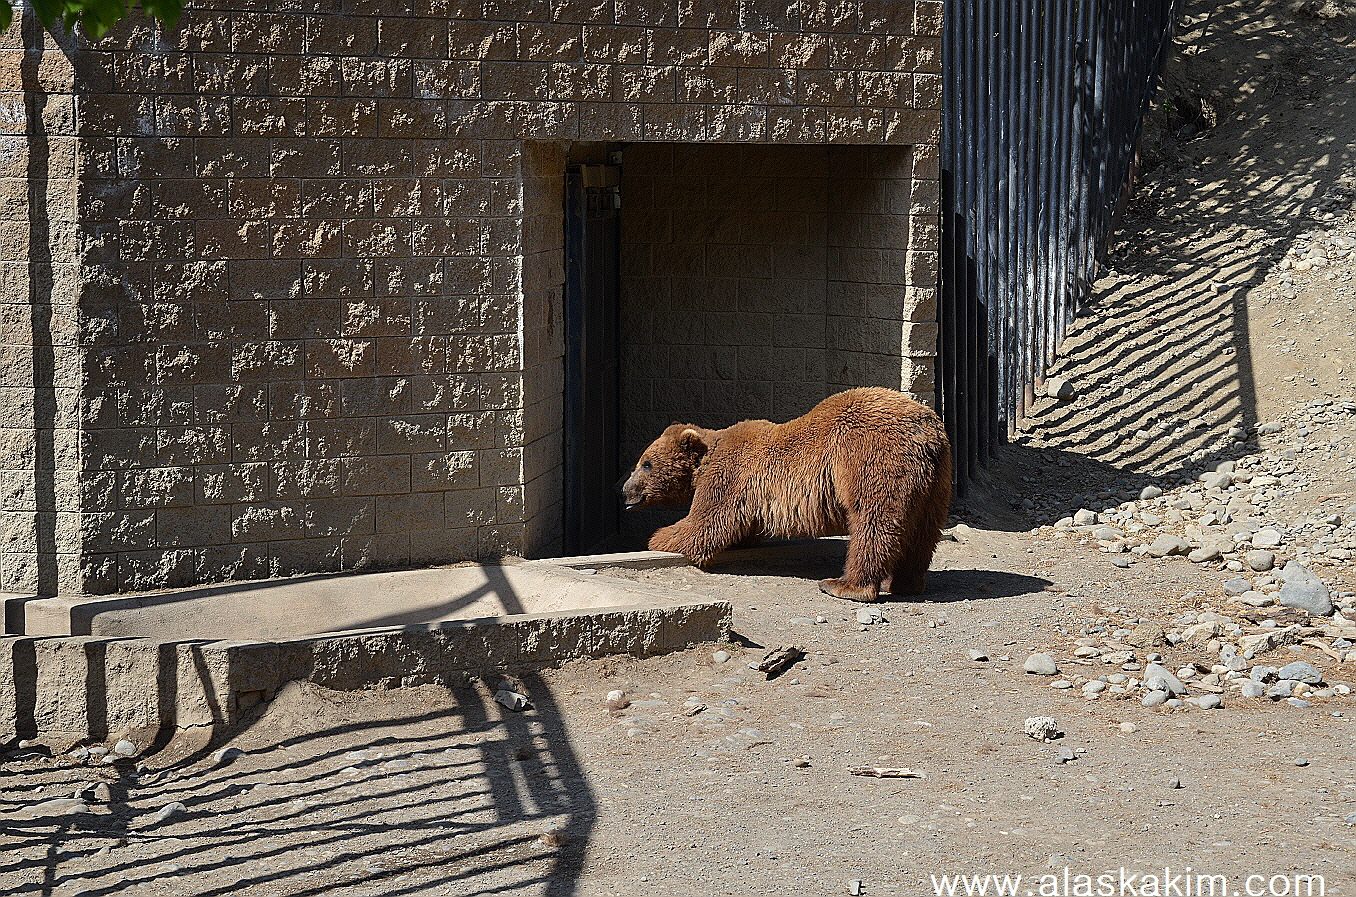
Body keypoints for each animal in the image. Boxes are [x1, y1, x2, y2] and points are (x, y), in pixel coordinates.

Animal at [621, 387, 949, 604]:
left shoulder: (729, 474)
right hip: (936, 482)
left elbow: (706, 525)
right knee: (923, 531)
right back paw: (905, 582)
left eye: (646, 463)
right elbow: (740, 531)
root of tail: (926, 431)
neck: (707, 455)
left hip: (868, 455)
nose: (625, 490)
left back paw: (844, 584)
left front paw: (657, 537)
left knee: (873, 522)